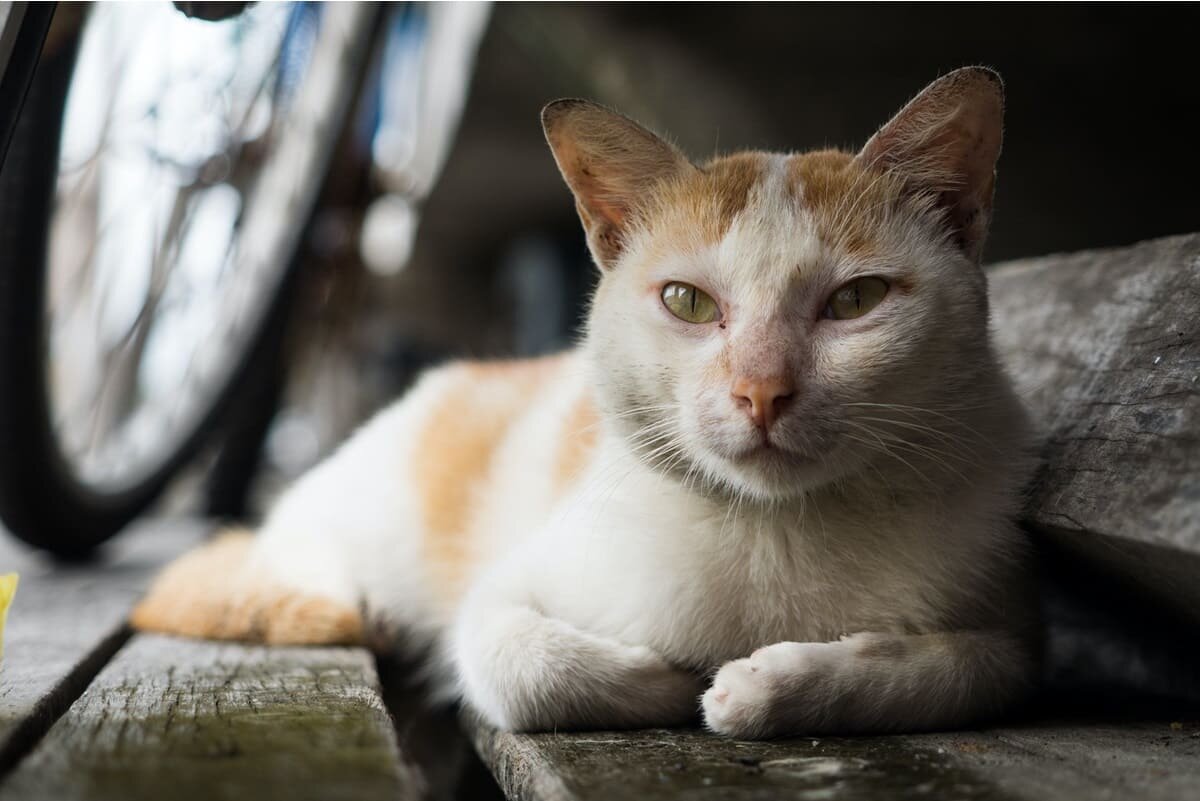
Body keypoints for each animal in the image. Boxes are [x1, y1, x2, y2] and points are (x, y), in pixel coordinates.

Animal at [131, 68, 1036, 738]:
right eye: (688, 302)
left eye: (856, 300)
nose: (761, 389)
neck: (774, 530)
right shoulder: (504, 592)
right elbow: (514, 660)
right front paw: (663, 678)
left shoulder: (1018, 622)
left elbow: (965, 667)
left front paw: (771, 685)